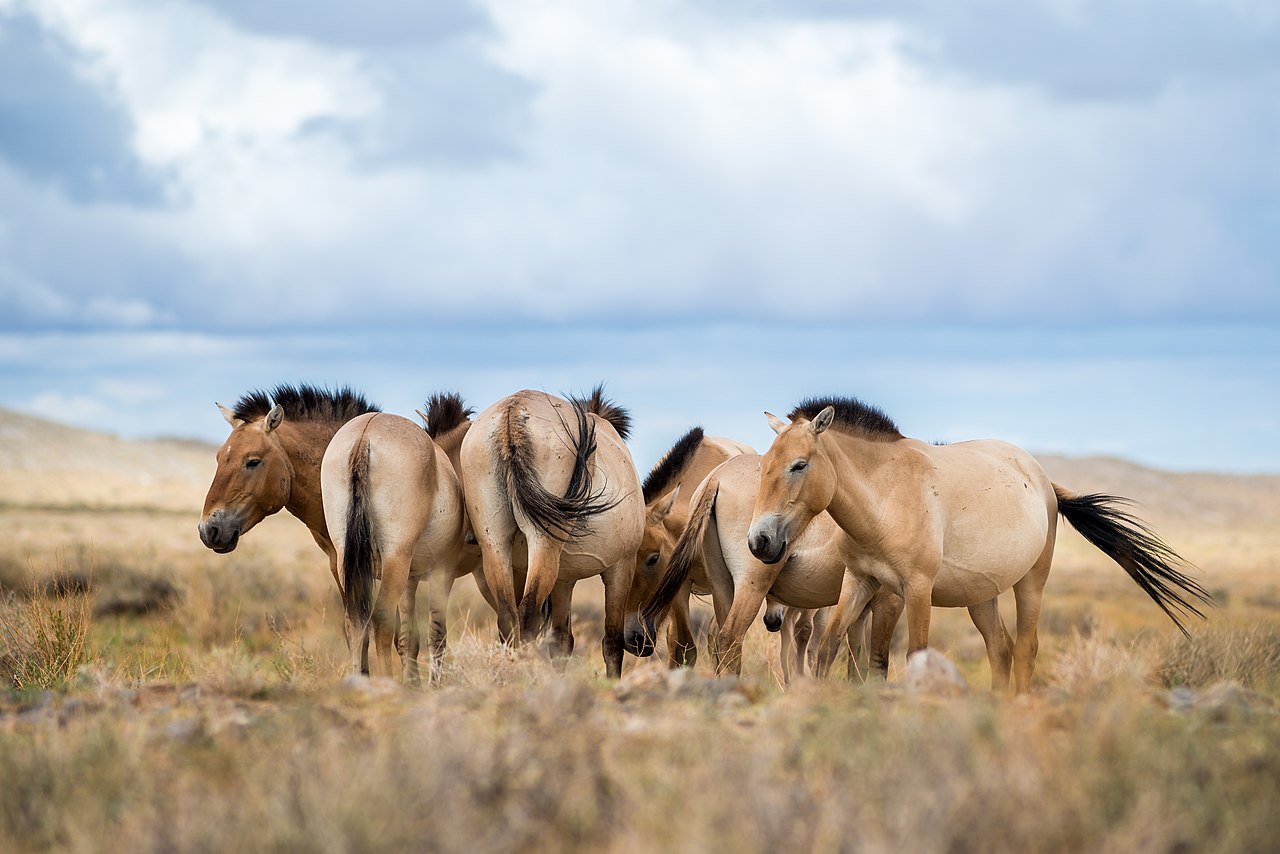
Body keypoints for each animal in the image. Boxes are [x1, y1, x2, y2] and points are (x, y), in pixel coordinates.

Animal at [322, 409, 473, 686]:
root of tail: (365, 434)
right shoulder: (442, 572)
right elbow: (436, 635)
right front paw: (432, 685)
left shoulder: (410, 578)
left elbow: (408, 637)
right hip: (396, 559)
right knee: (381, 620)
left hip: (349, 560)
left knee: (354, 621)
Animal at [460, 391, 645, 676]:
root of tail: (512, 411)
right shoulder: (621, 566)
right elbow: (612, 641)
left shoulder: (563, 580)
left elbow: (561, 642)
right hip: (543, 543)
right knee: (527, 615)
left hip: (494, 544)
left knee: (508, 618)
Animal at [742, 396, 1208, 691]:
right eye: (764, 466)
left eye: (799, 465)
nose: (760, 541)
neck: (887, 495)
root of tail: (1042, 480)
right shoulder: (859, 583)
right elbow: (828, 650)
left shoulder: (914, 591)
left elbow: (911, 655)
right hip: (982, 595)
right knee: (1000, 650)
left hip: (1031, 583)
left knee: (1025, 649)